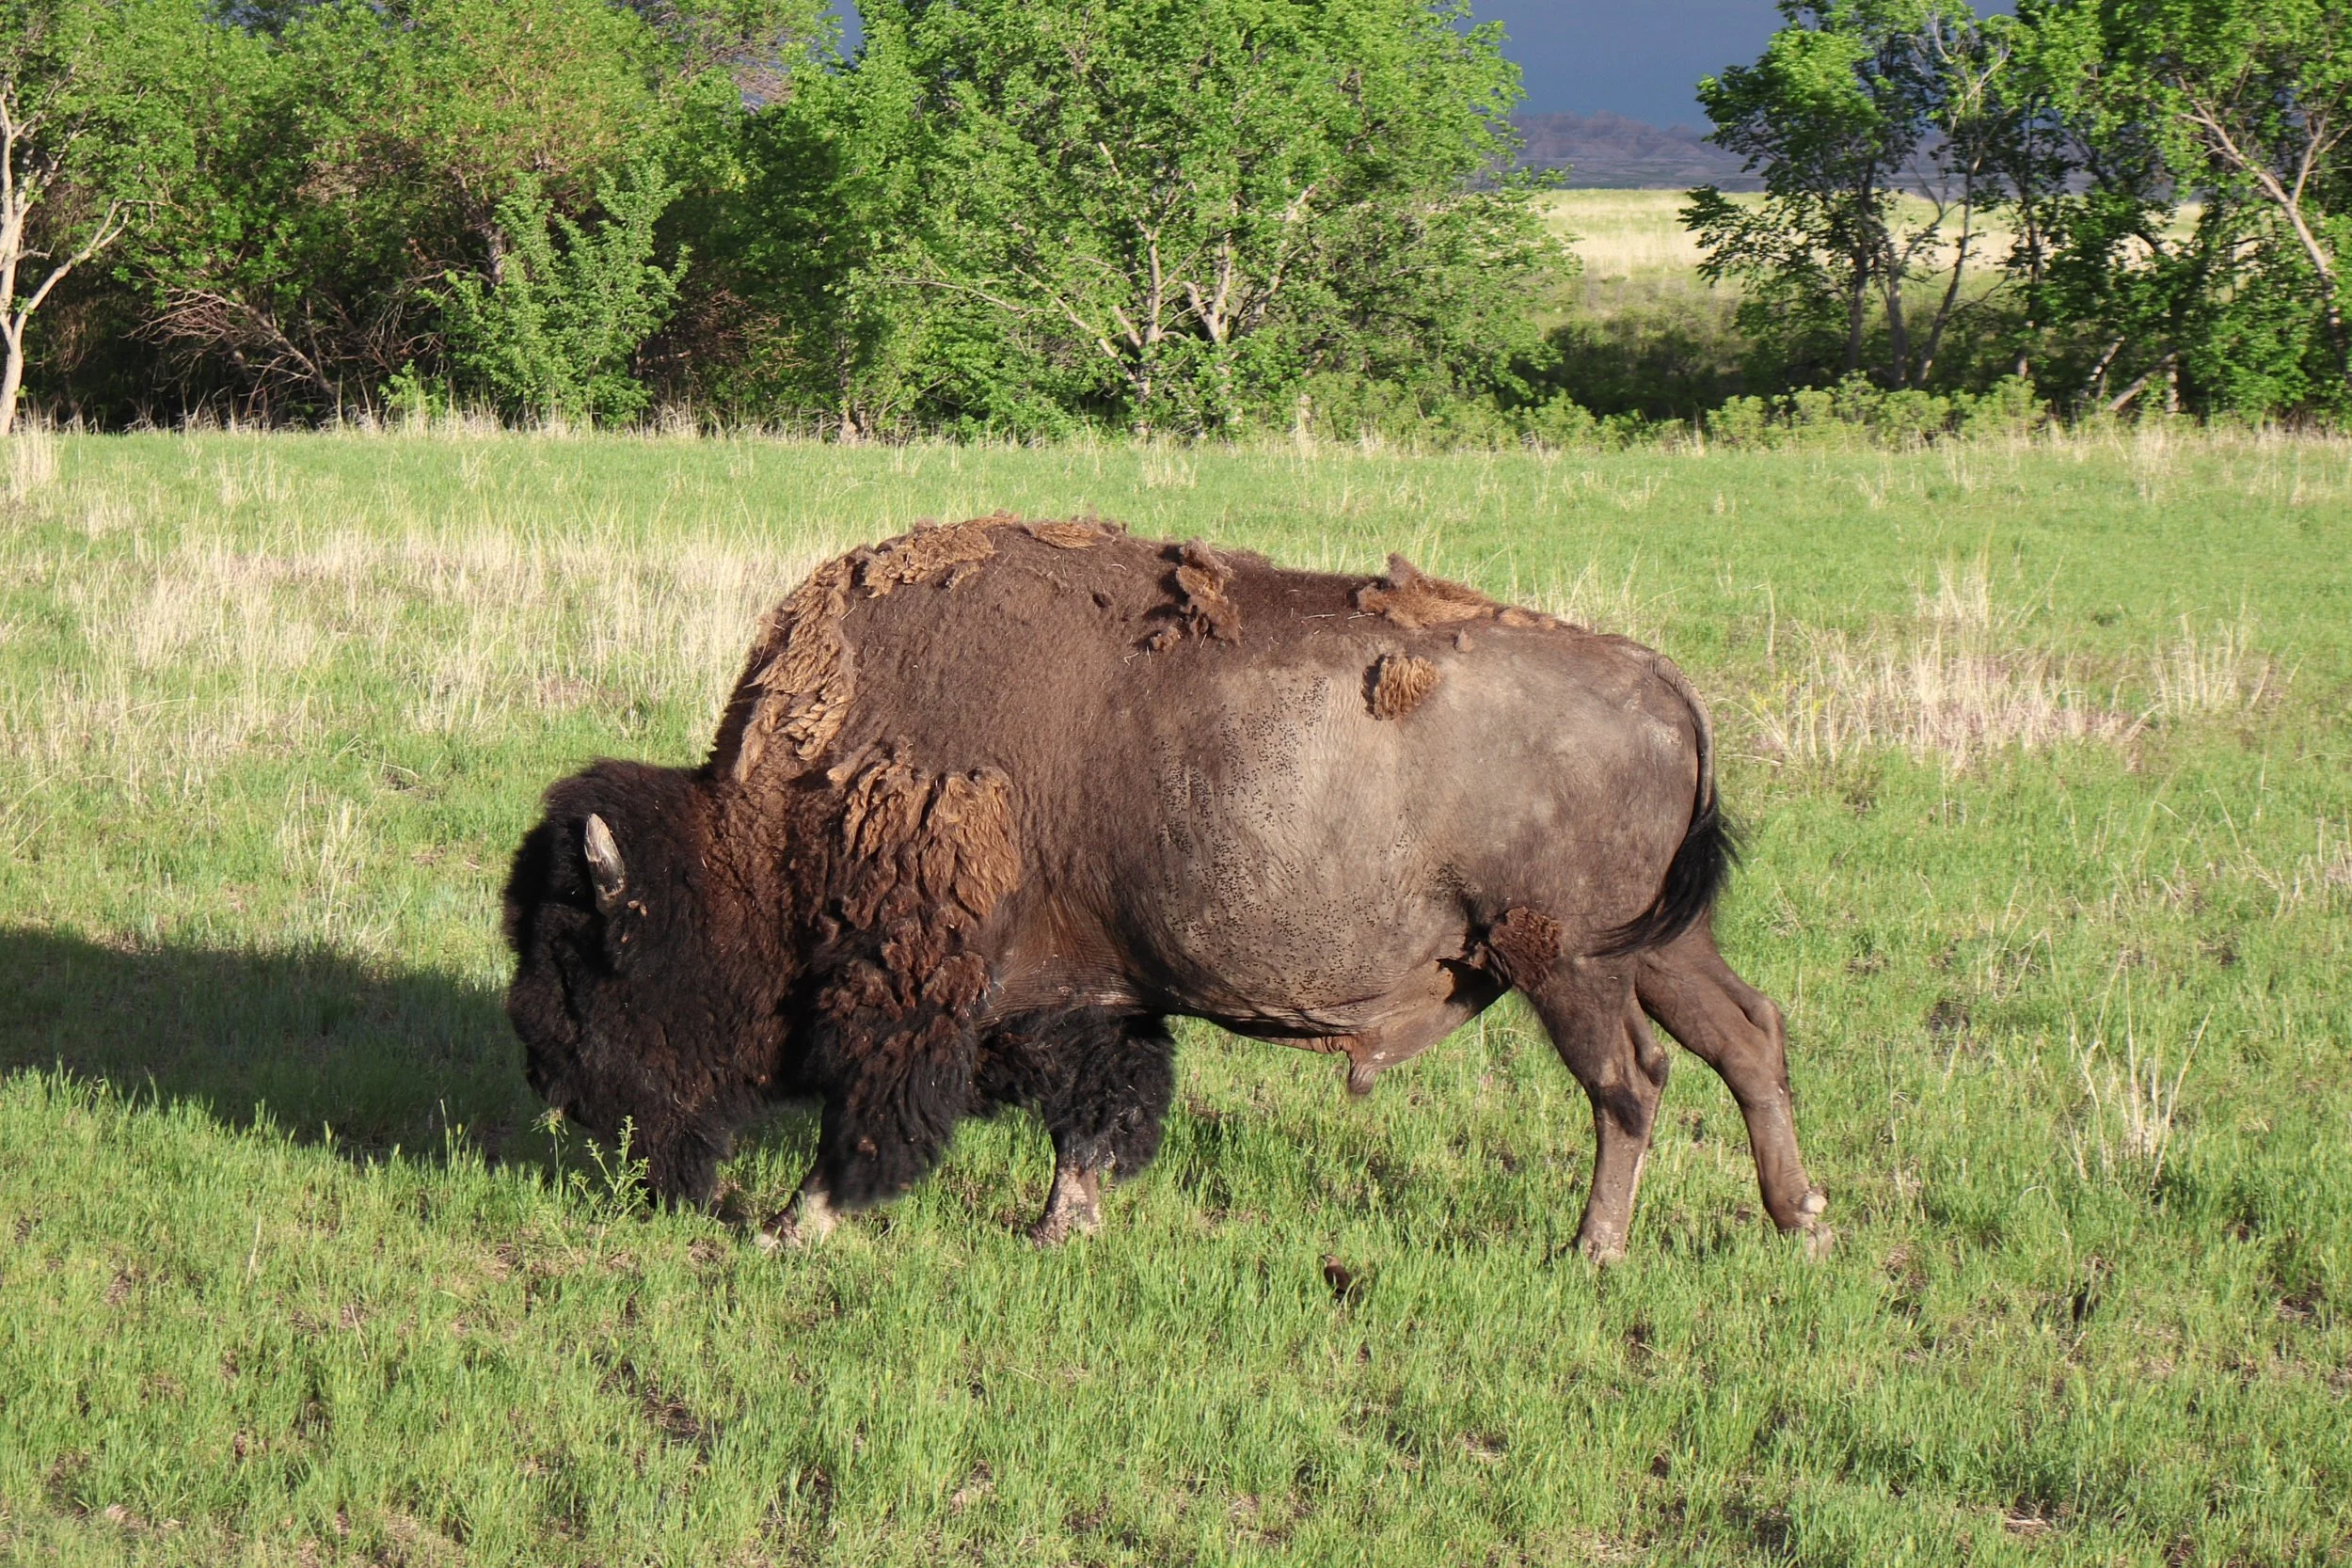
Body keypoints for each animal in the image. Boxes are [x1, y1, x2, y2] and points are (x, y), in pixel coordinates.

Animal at [503, 516, 1825, 1261]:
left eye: (590, 963)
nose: (556, 1092)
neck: (770, 829)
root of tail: (1666, 682)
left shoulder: (913, 982)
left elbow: (875, 1109)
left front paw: (797, 1223)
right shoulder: (1088, 994)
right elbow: (1098, 1108)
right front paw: (1062, 1224)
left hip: (1571, 960)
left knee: (1631, 1084)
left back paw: (1591, 1251)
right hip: (1661, 945)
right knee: (1746, 1036)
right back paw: (1799, 1222)